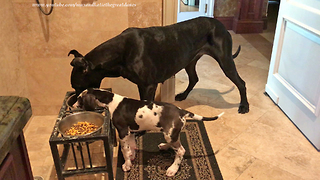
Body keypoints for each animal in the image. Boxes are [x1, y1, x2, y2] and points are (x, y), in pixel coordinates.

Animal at [74, 88, 224, 176]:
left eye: (79, 98)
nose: (73, 105)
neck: (111, 101)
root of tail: (181, 111)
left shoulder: (122, 131)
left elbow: (124, 150)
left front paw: (127, 164)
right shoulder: (131, 131)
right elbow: (131, 147)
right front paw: (132, 156)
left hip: (170, 135)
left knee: (180, 151)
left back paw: (172, 169)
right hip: (170, 134)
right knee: (174, 145)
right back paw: (164, 146)